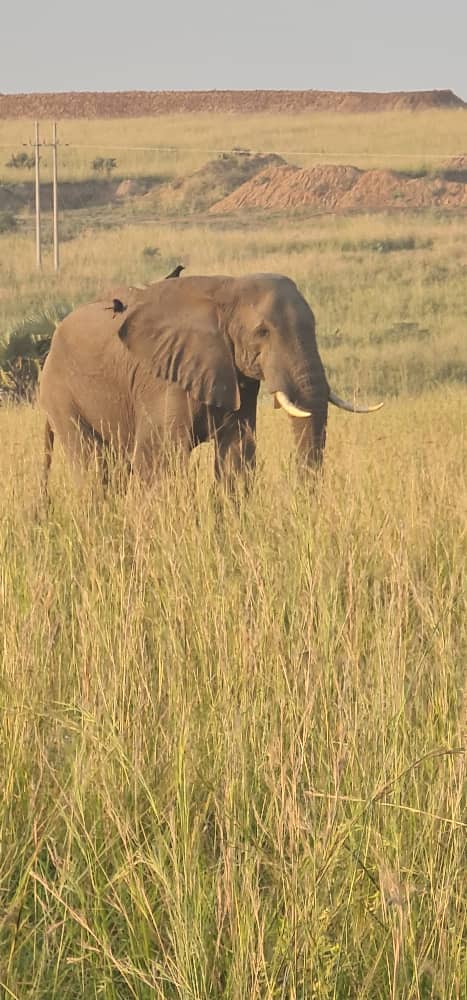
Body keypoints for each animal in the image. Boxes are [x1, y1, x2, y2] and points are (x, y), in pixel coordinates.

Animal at [39, 274, 384, 492]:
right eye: (262, 332)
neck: (227, 289)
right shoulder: (162, 378)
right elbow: (160, 461)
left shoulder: (235, 375)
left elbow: (237, 455)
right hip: (60, 391)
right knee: (94, 468)